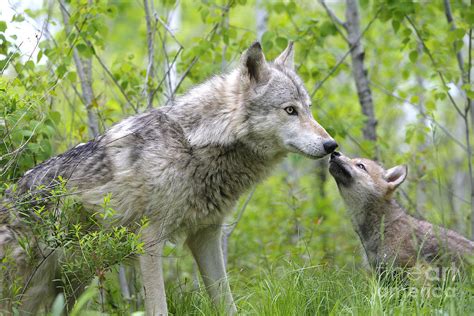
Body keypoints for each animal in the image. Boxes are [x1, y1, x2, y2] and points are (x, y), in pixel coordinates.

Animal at [0, 41, 336, 314]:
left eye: (308, 109)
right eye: (290, 110)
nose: (331, 145)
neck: (194, 143)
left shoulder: (206, 236)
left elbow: (226, 303)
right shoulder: (148, 240)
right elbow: (159, 307)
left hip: (68, 284)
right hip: (32, 289)